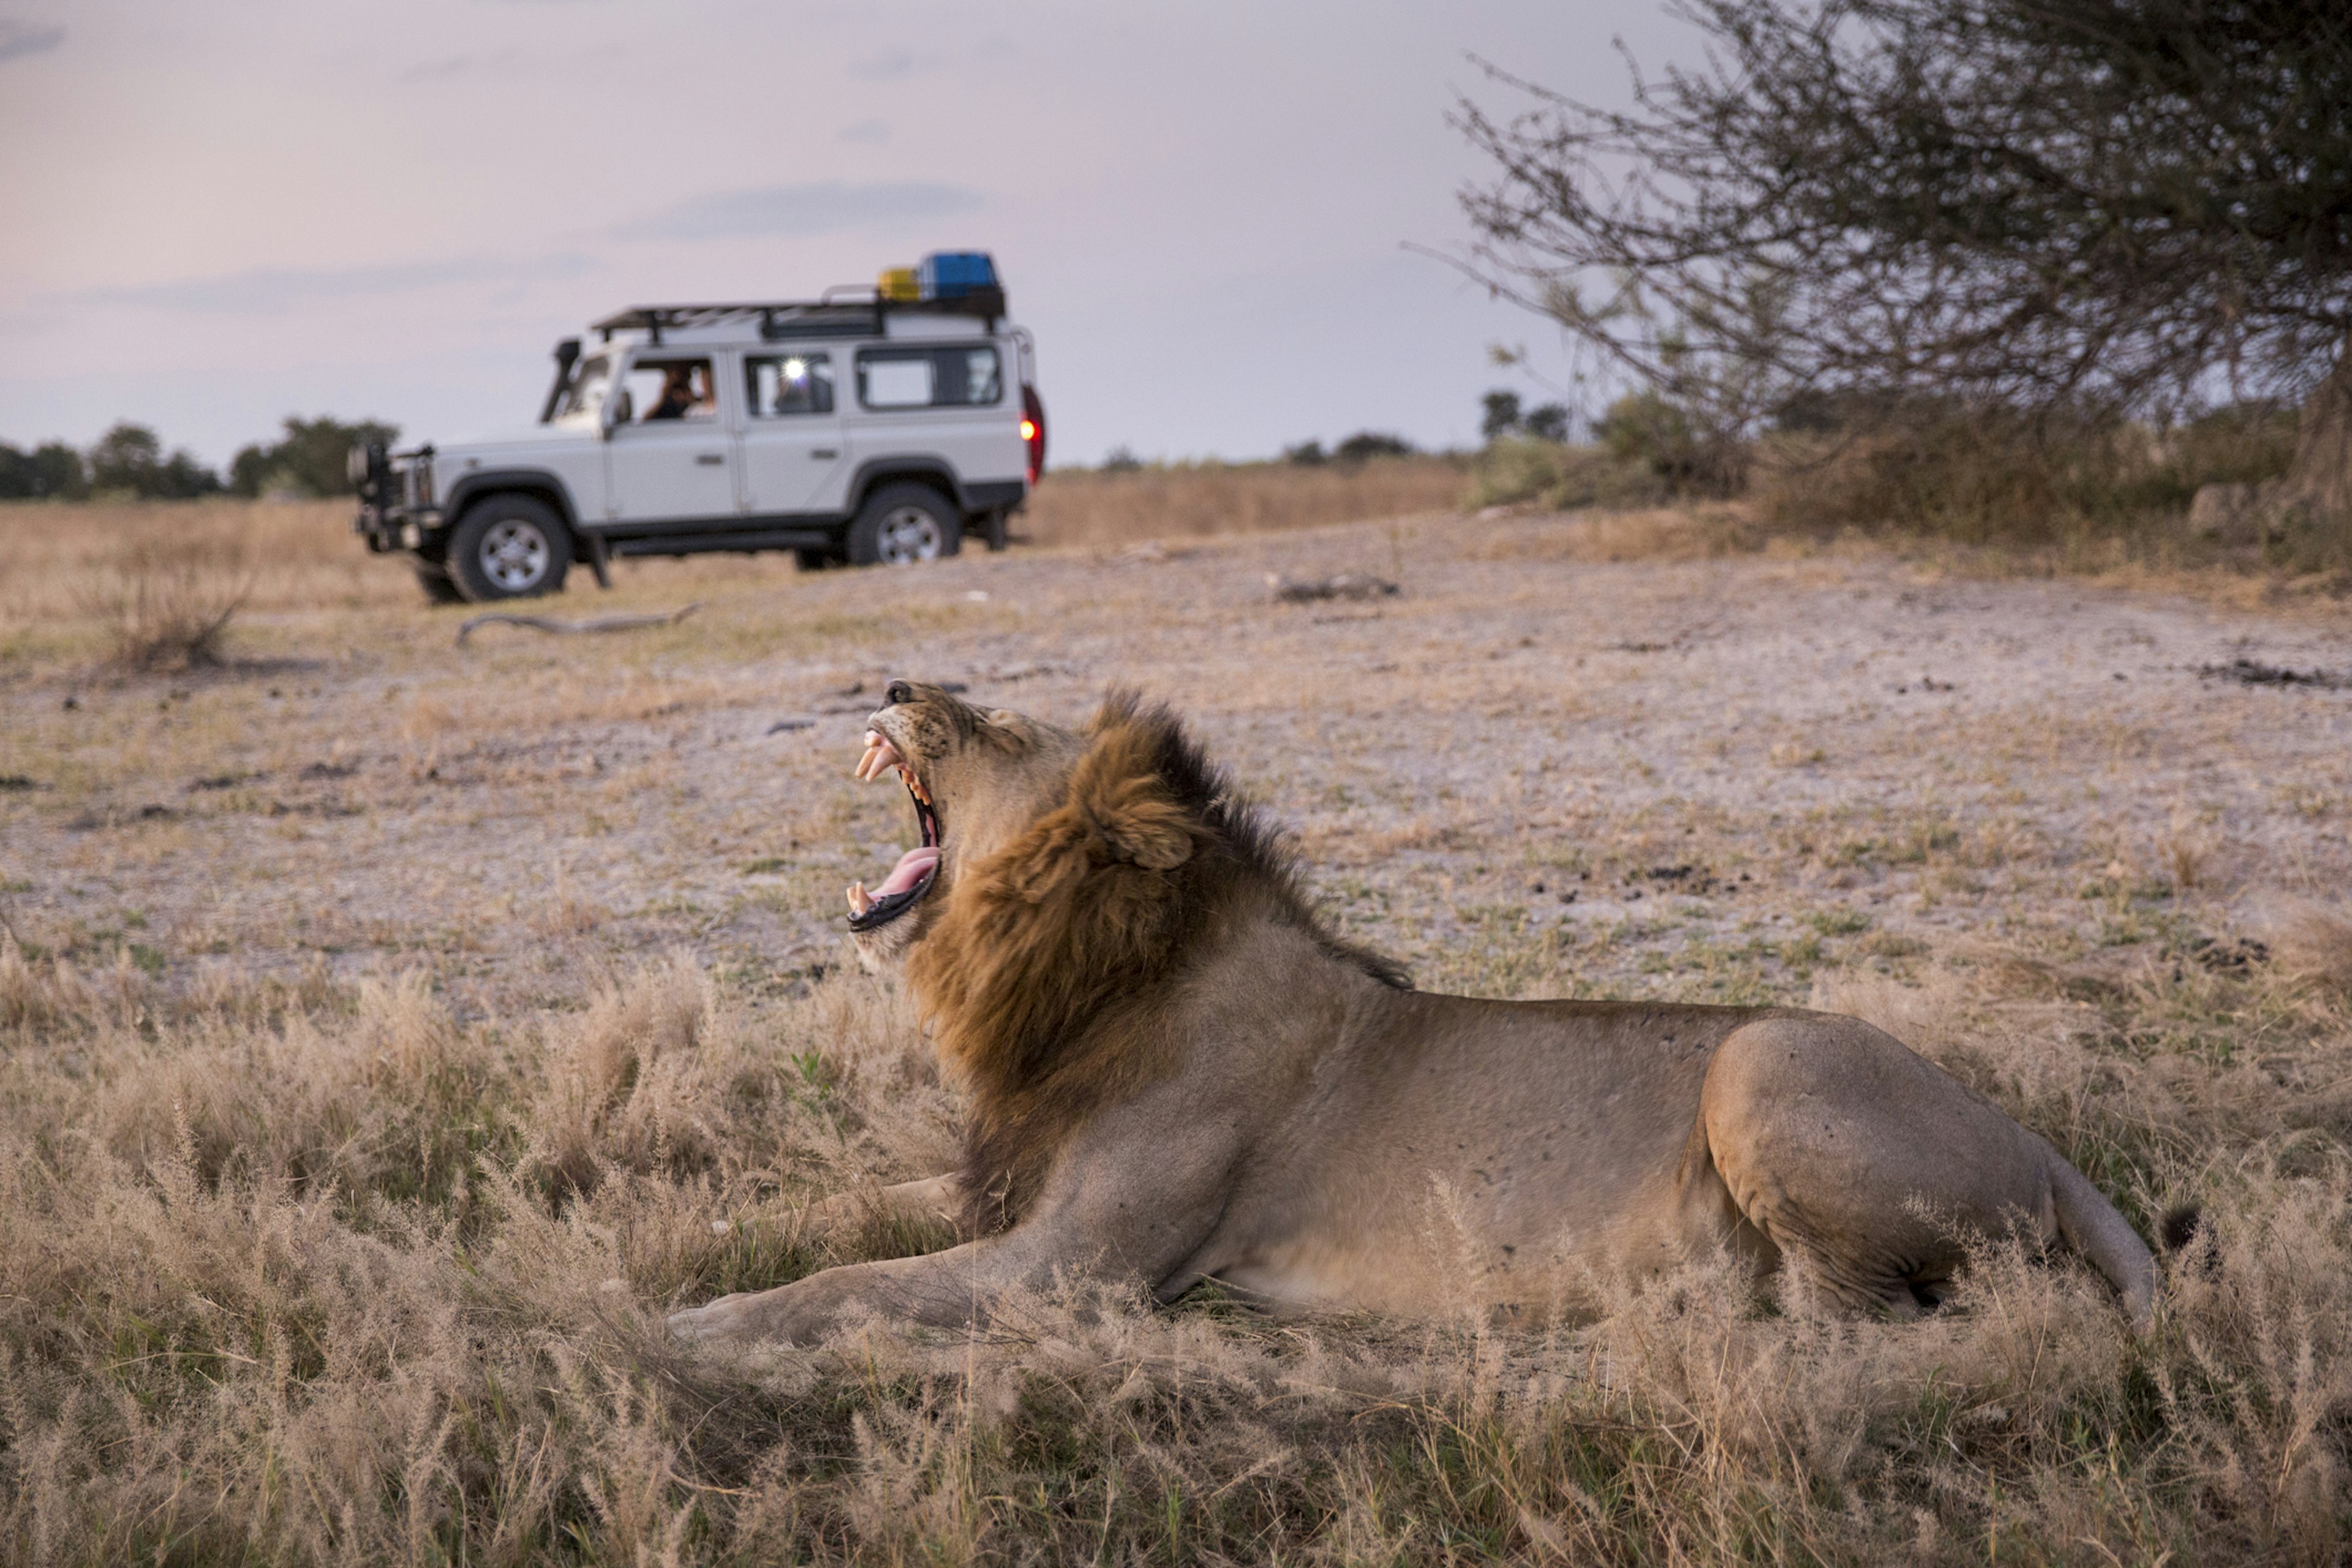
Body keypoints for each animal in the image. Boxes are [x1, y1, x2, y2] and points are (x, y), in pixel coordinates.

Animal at [668, 682, 2163, 1344]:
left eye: (992, 728)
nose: (894, 685)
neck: (1081, 978)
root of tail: (2036, 1142)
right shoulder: (1005, 1186)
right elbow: (831, 1214)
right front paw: (687, 1250)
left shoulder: (1077, 1267)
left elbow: (851, 1283)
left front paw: (696, 1326)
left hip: (1760, 1059)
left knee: (1861, 1313)